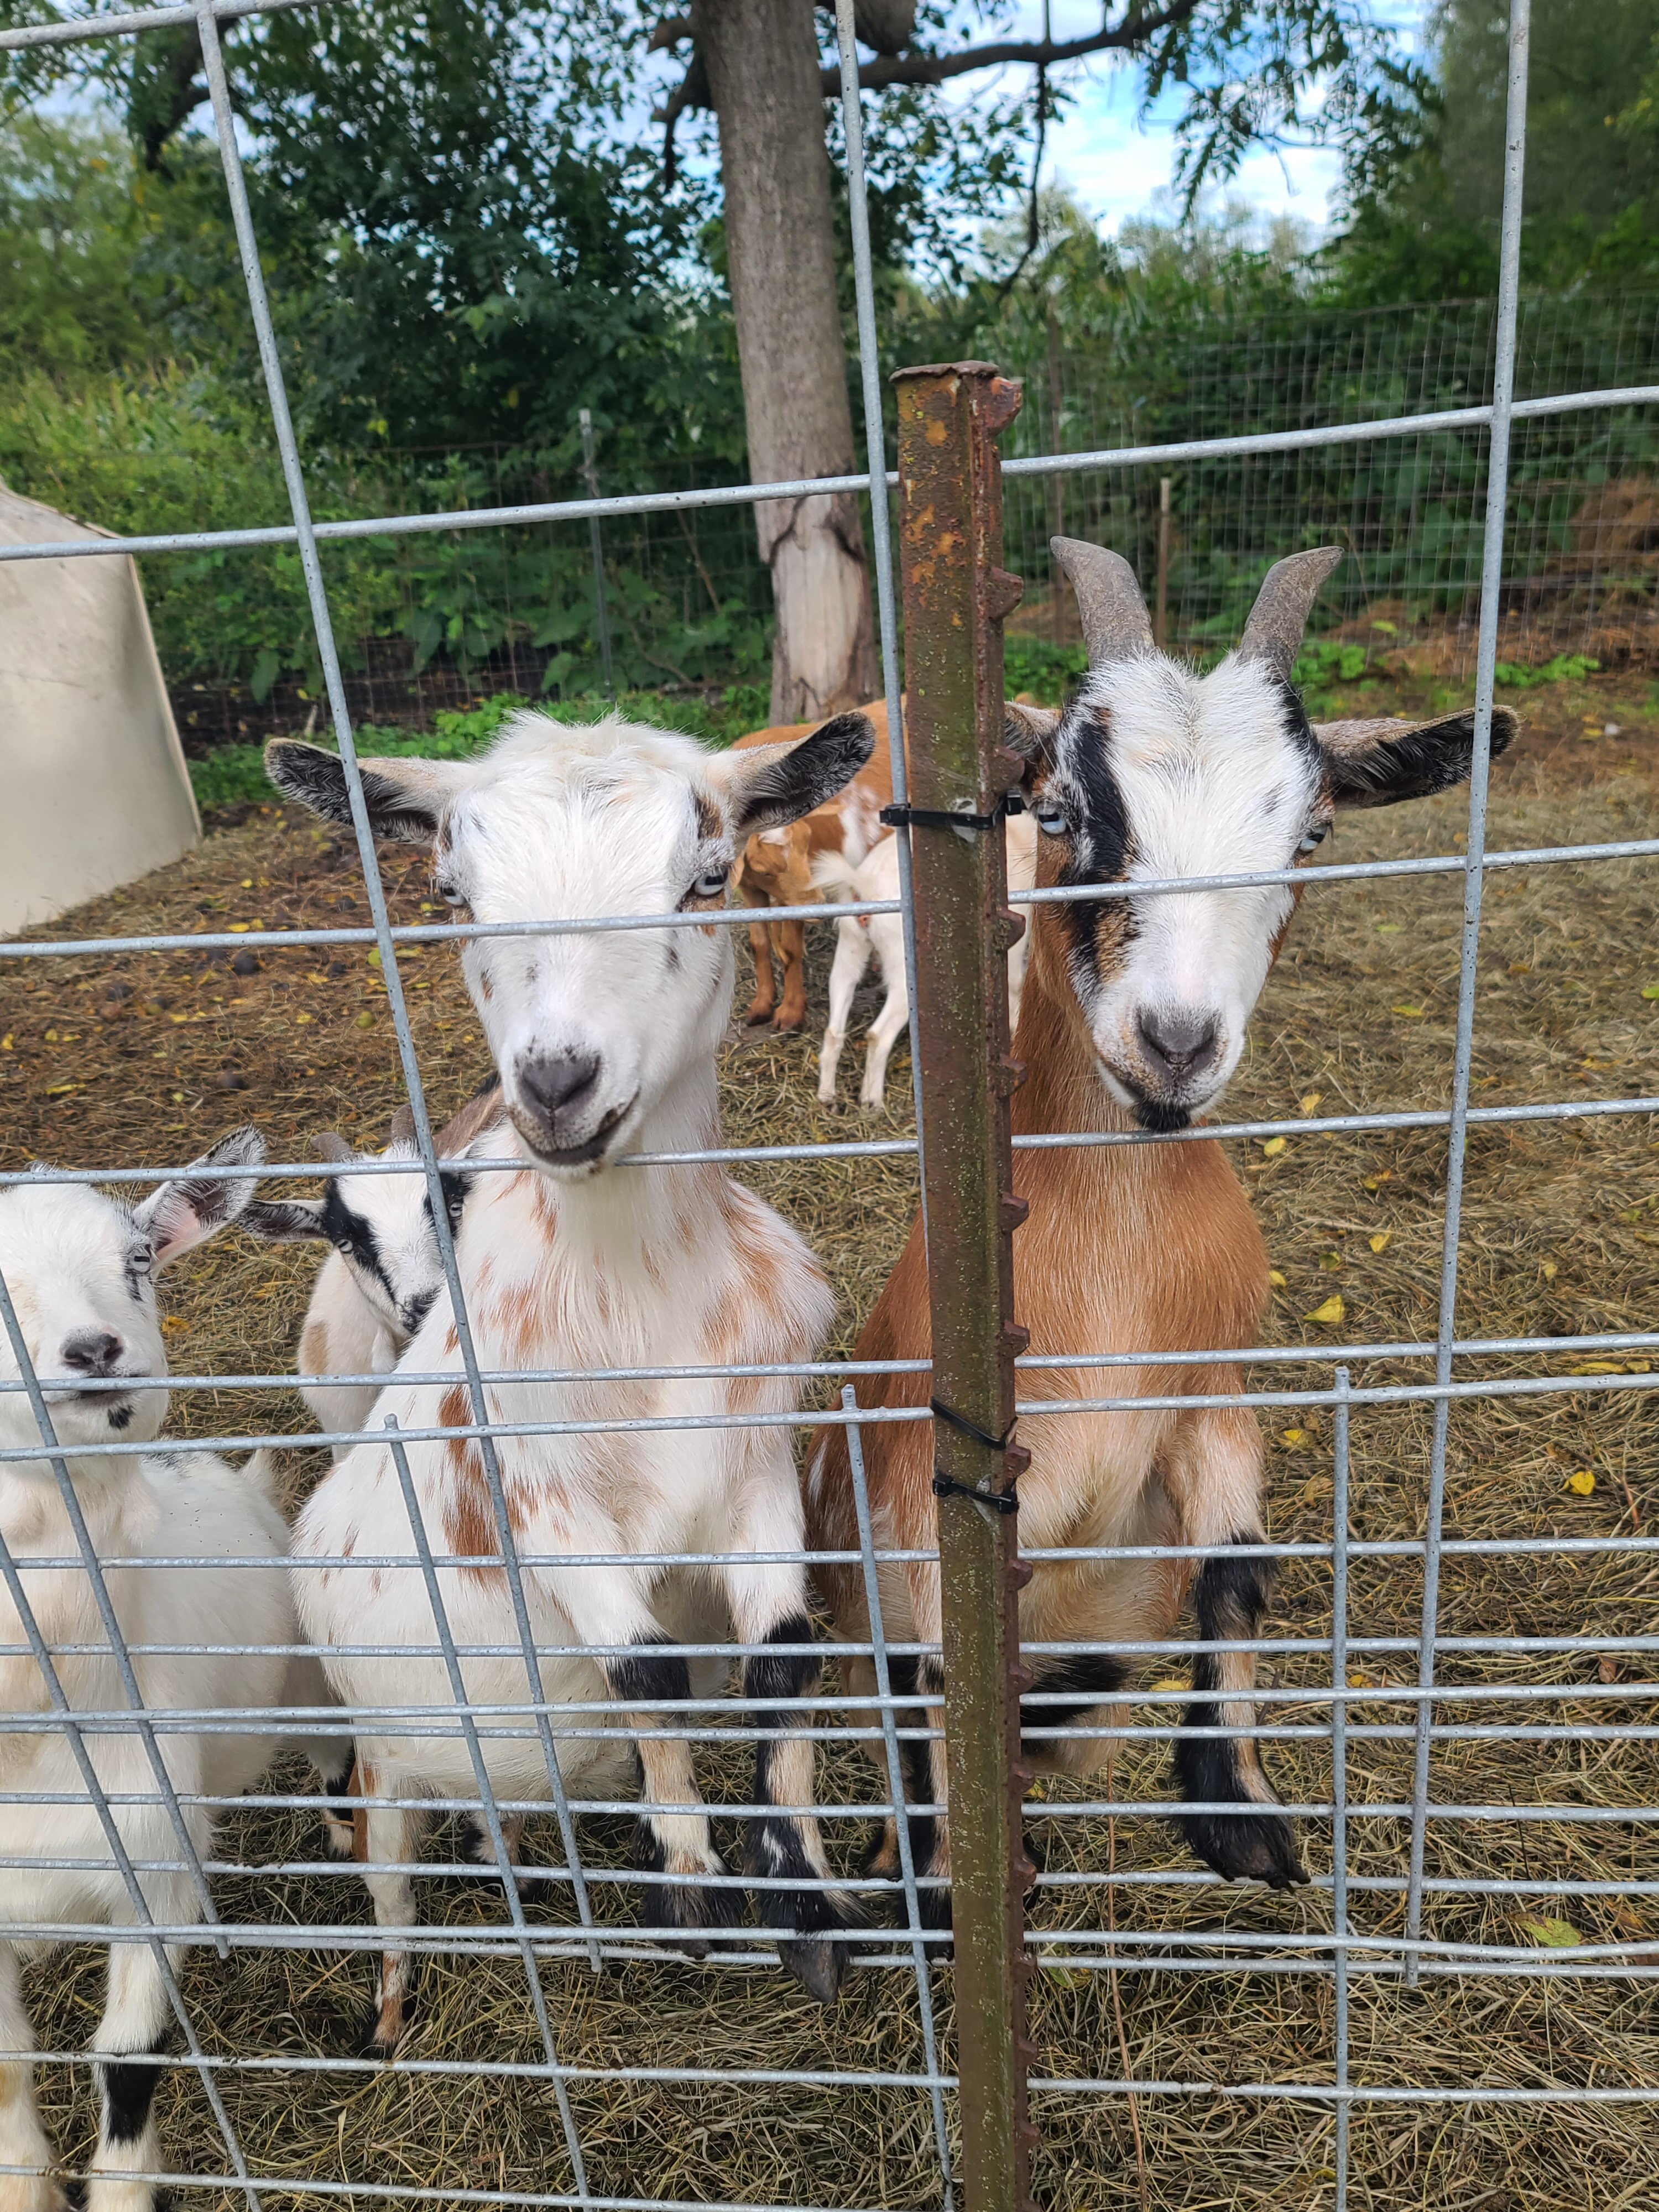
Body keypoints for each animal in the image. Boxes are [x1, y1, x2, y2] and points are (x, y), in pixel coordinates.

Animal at [265, 705, 876, 2045]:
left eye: (709, 877)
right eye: (451, 893)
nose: (555, 1082)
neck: (642, 1298)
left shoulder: (758, 1465)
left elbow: (785, 1653)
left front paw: (806, 1901)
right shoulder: (536, 1498)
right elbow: (644, 1662)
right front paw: (689, 1890)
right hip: (381, 1759)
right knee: (389, 1883)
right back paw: (389, 2018)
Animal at [733, 698, 895, 1030]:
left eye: (807, 844)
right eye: (765, 870)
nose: (817, 904)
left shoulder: (798, 894)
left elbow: (790, 949)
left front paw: (791, 1012)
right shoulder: (751, 887)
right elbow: (759, 943)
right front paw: (761, 1005)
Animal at [812, 809, 1037, 1111]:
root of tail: (864, 885)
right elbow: (1015, 983)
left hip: (851, 946)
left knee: (835, 1023)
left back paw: (827, 1096)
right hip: (903, 972)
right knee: (878, 1034)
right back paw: (873, 1103)